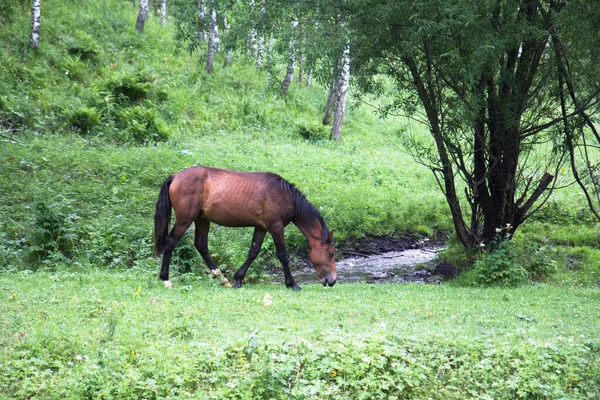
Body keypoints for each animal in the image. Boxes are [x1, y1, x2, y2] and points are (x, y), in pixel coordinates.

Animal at [152, 166, 336, 290]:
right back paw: (166, 279)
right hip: (185, 220)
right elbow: (283, 255)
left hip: (202, 220)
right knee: (171, 242)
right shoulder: (275, 227)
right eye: (330, 253)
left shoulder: (261, 228)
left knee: (201, 245)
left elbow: (253, 252)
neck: (284, 195)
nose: (333, 280)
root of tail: (176, 176)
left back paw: (222, 279)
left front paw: (238, 279)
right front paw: (292, 284)